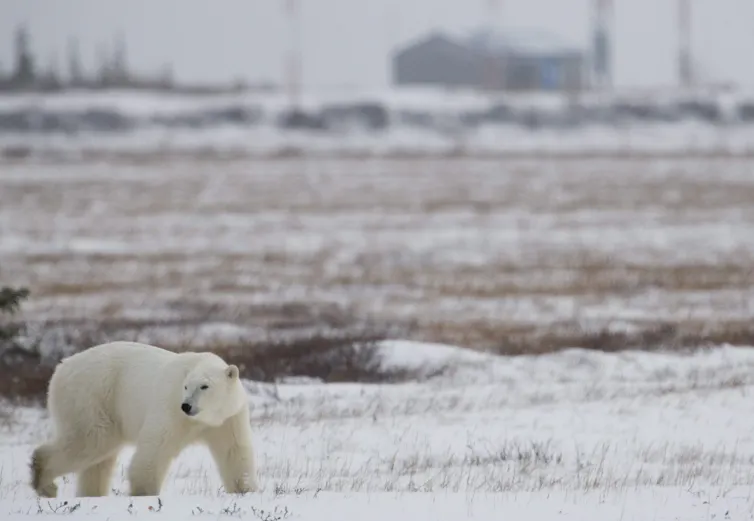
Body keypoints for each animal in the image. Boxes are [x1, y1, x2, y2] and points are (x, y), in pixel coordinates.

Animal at [30, 341, 259, 498]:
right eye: (186, 386)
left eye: (204, 386)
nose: (186, 405)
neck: (204, 419)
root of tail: (61, 367)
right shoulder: (170, 407)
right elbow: (155, 447)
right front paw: (144, 493)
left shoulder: (228, 418)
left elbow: (233, 452)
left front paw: (245, 489)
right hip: (92, 396)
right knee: (90, 441)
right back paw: (45, 483)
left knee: (100, 458)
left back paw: (91, 494)